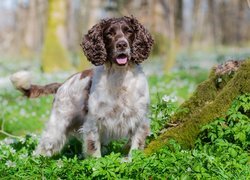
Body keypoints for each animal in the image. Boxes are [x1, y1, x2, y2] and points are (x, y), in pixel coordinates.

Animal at [10, 16, 153, 158]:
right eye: (109, 33)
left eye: (129, 31)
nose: (122, 44)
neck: (120, 77)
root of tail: (62, 84)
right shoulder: (93, 121)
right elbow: (94, 150)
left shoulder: (140, 119)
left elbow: (136, 146)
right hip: (58, 124)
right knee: (44, 146)